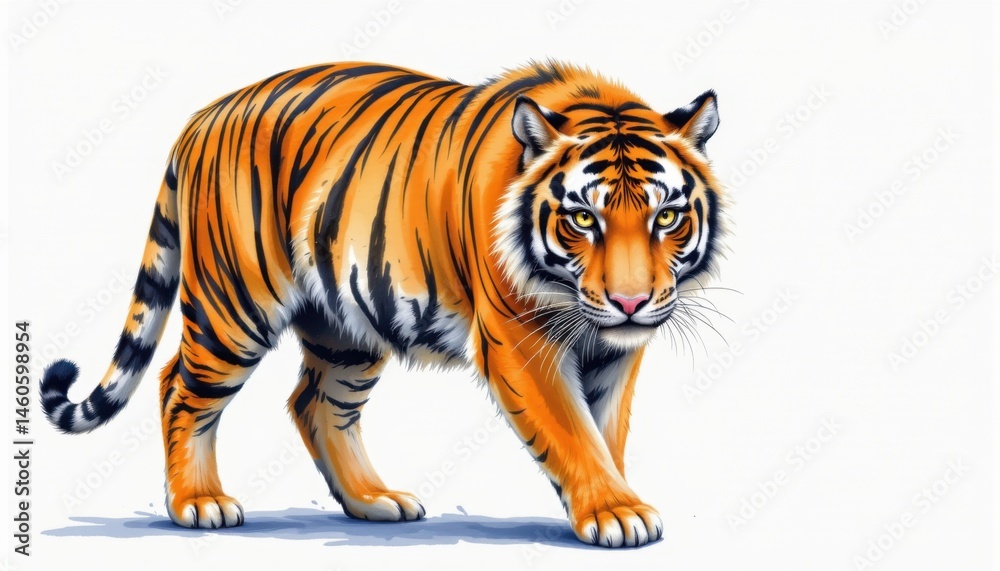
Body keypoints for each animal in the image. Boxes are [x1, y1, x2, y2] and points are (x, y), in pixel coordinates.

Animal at [41, 60, 723, 548]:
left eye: (666, 217)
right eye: (584, 218)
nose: (631, 302)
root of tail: (203, 115)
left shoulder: (613, 351)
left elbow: (605, 432)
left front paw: (616, 502)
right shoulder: (519, 340)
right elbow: (573, 432)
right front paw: (616, 513)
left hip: (349, 325)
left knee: (315, 402)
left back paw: (373, 501)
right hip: (235, 307)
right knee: (177, 388)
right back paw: (197, 504)